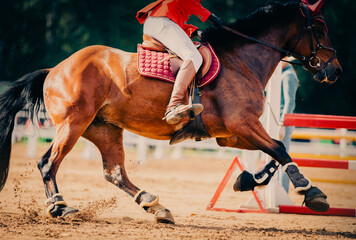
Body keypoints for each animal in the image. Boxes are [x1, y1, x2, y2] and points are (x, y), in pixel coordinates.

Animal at [0, 0, 342, 224]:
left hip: (104, 128)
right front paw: (312, 192)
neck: (242, 60)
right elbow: (279, 148)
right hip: (74, 123)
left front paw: (247, 180)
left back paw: (155, 206)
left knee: (115, 173)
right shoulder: (242, 124)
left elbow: (274, 151)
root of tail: (54, 69)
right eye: (320, 29)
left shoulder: (230, 134)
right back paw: (60, 207)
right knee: (48, 162)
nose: (335, 71)